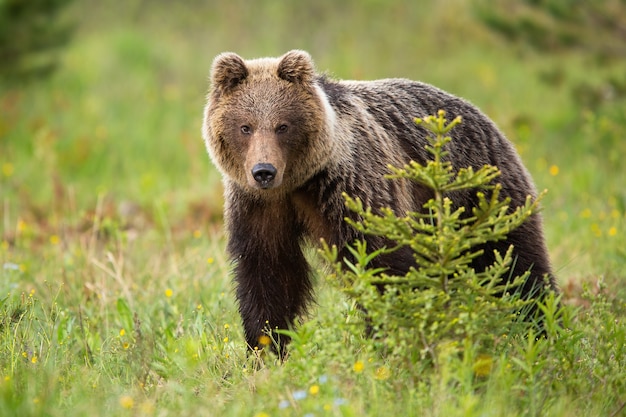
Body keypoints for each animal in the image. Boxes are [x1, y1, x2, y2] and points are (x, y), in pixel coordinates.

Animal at [200, 49, 556, 354]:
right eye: (245, 126)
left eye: (282, 126)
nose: (264, 171)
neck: (300, 183)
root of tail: (484, 117)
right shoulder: (260, 208)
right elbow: (269, 274)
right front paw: (266, 350)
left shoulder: (354, 191)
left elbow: (383, 266)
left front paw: (391, 337)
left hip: (485, 199)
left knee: (517, 267)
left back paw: (542, 328)